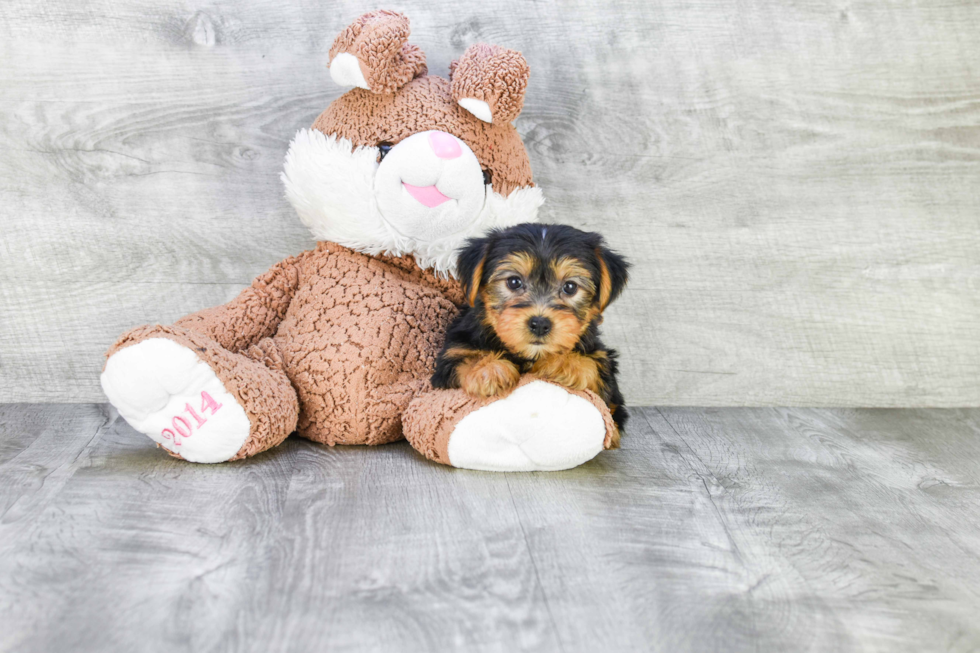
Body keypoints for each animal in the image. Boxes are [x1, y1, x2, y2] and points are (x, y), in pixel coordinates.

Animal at [432, 222, 632, 440]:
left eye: (570, 287)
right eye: (514, 282)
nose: (540, 323)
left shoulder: (604, 364)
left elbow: (598, 376)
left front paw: (569, 363)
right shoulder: (453, 353)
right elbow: (464, 358)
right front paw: (489, 369)